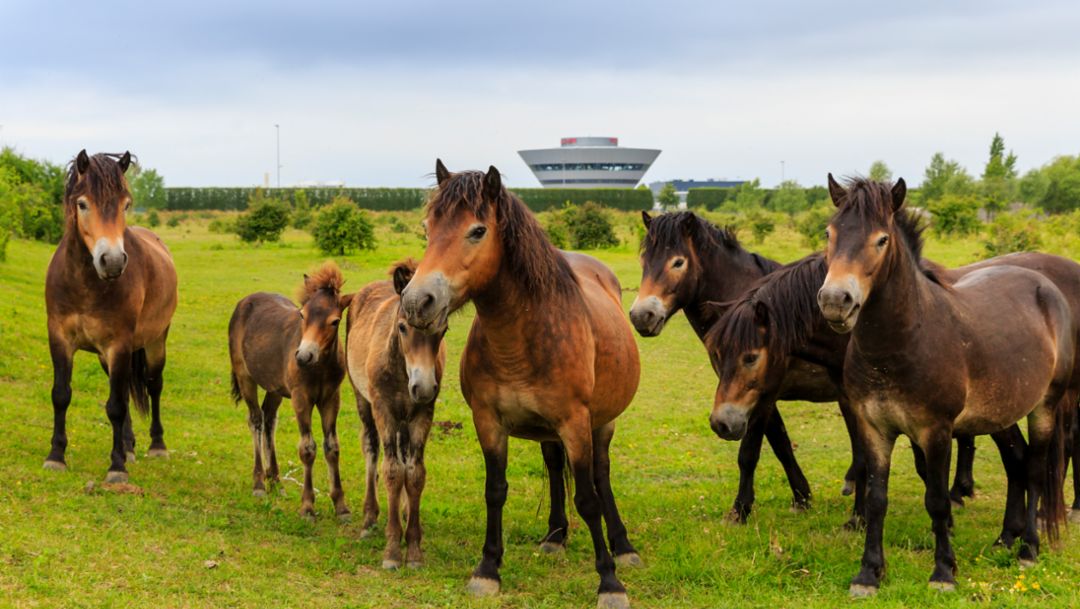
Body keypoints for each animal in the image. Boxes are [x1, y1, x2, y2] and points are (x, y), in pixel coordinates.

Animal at [44, 150, 178, 483]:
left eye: (125, 204)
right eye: (82, 204)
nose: (113, 261)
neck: (84, 284)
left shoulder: (119, 345)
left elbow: (115, 406)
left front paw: (116, 467)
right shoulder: (60, 339)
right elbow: (61, 394)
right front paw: (56, 456)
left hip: (155, 342)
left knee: (154, 385)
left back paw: (156, 446)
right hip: (109, 357)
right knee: (128, 391)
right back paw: (129, 446)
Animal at [228, 262, 351, 521]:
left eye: (335, 321)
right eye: (302, 314)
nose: (304, 356)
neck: (320, 367)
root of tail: (244, 301)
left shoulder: (331, 398)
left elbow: (332, 447)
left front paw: (341, 506)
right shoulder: (300, 398)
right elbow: (307, 449)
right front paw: (307, 507)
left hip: (275, 387)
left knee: (269, 419)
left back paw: (275, 480)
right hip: (245, 377)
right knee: (255, 419)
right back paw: (259, 484)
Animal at [345, 259, 447, 570]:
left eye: (443, 330)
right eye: (402, 327)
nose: (422, 387)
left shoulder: (422, 413)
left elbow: (414, 473)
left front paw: (413, 548)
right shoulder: (385, 410)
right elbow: (391, 471)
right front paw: (392, 550)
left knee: (403, 455)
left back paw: (402, 510)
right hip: (363, 400)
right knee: (371, 448)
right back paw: (369, 518)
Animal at [400, 160, 641, 609]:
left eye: (477, 231)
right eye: (427, 228)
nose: (416, 302)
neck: (522, 339)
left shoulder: (576, 424)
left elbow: (588, 498)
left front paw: (609, 582)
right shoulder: (488, 422)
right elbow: (495, 490)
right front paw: (487, 570)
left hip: (601, 423)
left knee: (601, 476)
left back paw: (623, 546)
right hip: (551, 431)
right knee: (554, 465)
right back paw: (555, 536)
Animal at [816, 176, 1075, 596]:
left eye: (881, 240)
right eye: (829, 233)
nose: (836, 301)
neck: (904, 339)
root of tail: (1045, 287)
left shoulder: (936, 432)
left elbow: (937, 500)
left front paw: (943, 572)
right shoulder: (875, 429)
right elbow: (876, 499)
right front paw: (869, 573)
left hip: (1045, 407)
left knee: (1036, 469)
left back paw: (1029, 548)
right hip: (1002, 412)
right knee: (1017, 463)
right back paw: (1007, 537)